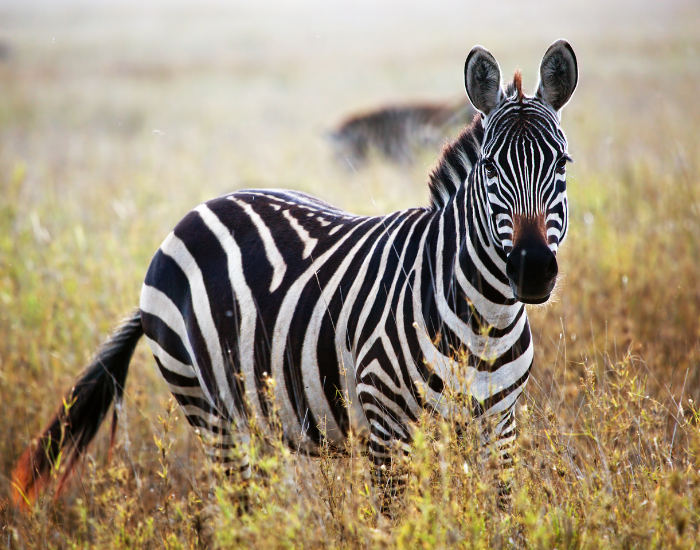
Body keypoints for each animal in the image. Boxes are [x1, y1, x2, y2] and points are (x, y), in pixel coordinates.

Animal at [13, 40, 578, 513]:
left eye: (563, 164)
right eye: (490, 168)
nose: (531, 270)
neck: (485, 318)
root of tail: (195, 212)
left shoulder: (499, 428)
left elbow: (499, 517)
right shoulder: (387, 427)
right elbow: (400, 522)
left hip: (257, 415)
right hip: (210, 410)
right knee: (238, 510)